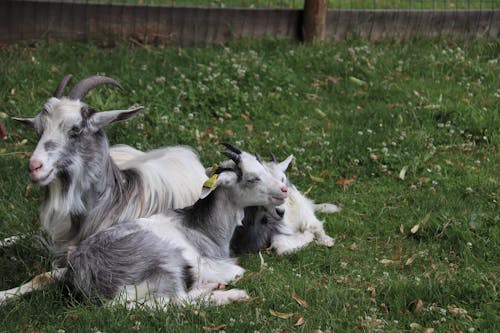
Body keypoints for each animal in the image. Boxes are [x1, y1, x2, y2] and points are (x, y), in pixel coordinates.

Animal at [65, 144, 290, 308]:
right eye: (252, 178)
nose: (284, 189)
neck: (201, 228)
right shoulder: (205, 263)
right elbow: (238, 271)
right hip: (165, 260)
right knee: (178, 301)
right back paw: (230, 294)